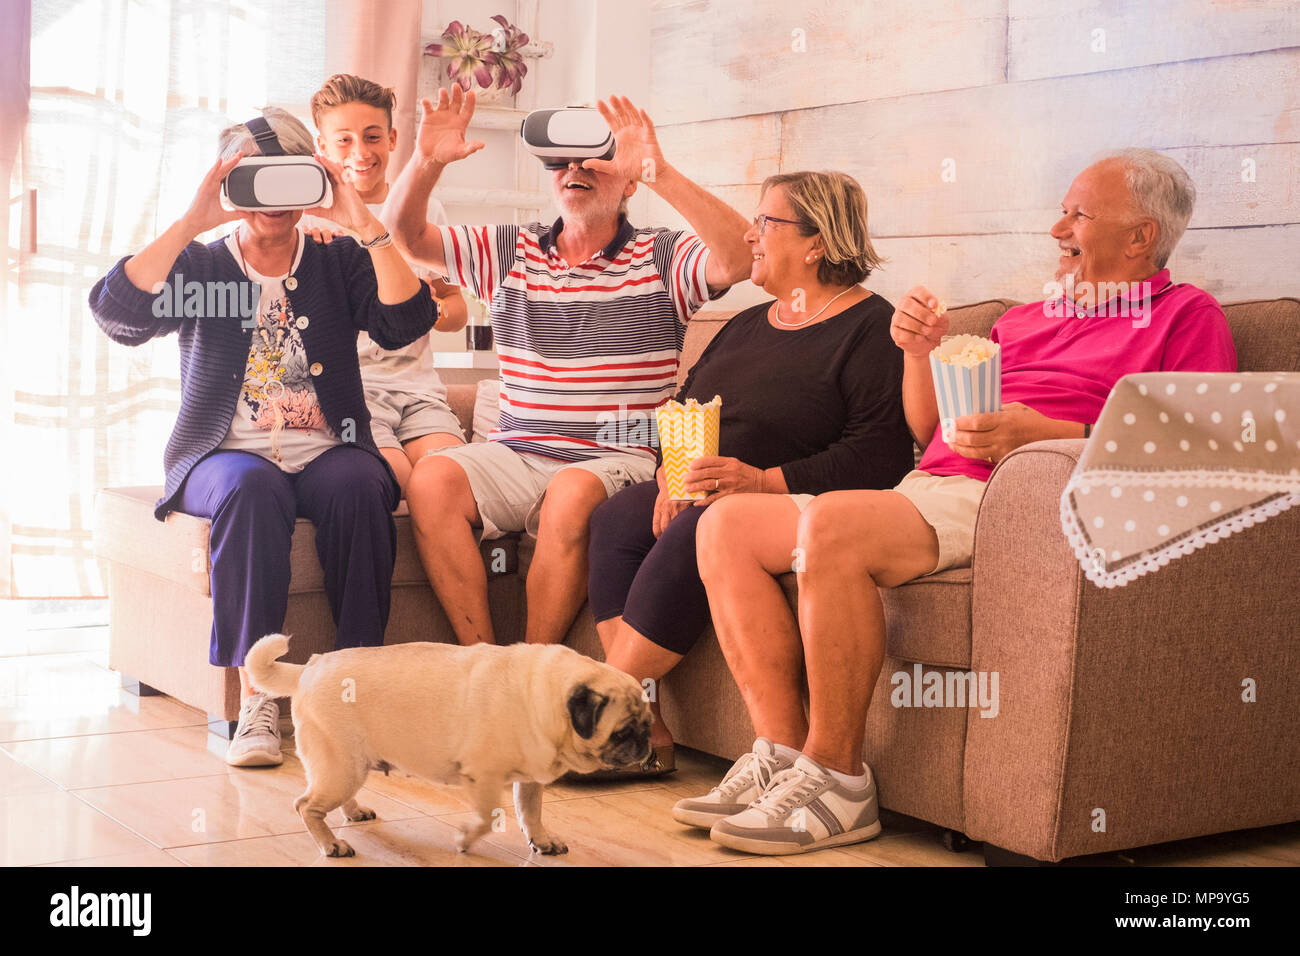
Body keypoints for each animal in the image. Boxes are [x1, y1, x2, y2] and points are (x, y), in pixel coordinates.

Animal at [241, 634, 650, 858]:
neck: (542, 690)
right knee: (306, 806)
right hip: (341, 765)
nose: (646, 743)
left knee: (337, 798)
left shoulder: (530, 780)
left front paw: (542, 841)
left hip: (348, 764)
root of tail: (308, 668)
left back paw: (354, 814)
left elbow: (530, 813)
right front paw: (465, 839)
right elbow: (488, 817)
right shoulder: (482, 778)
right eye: (621, 732)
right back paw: (332, 846)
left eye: (646, 724)